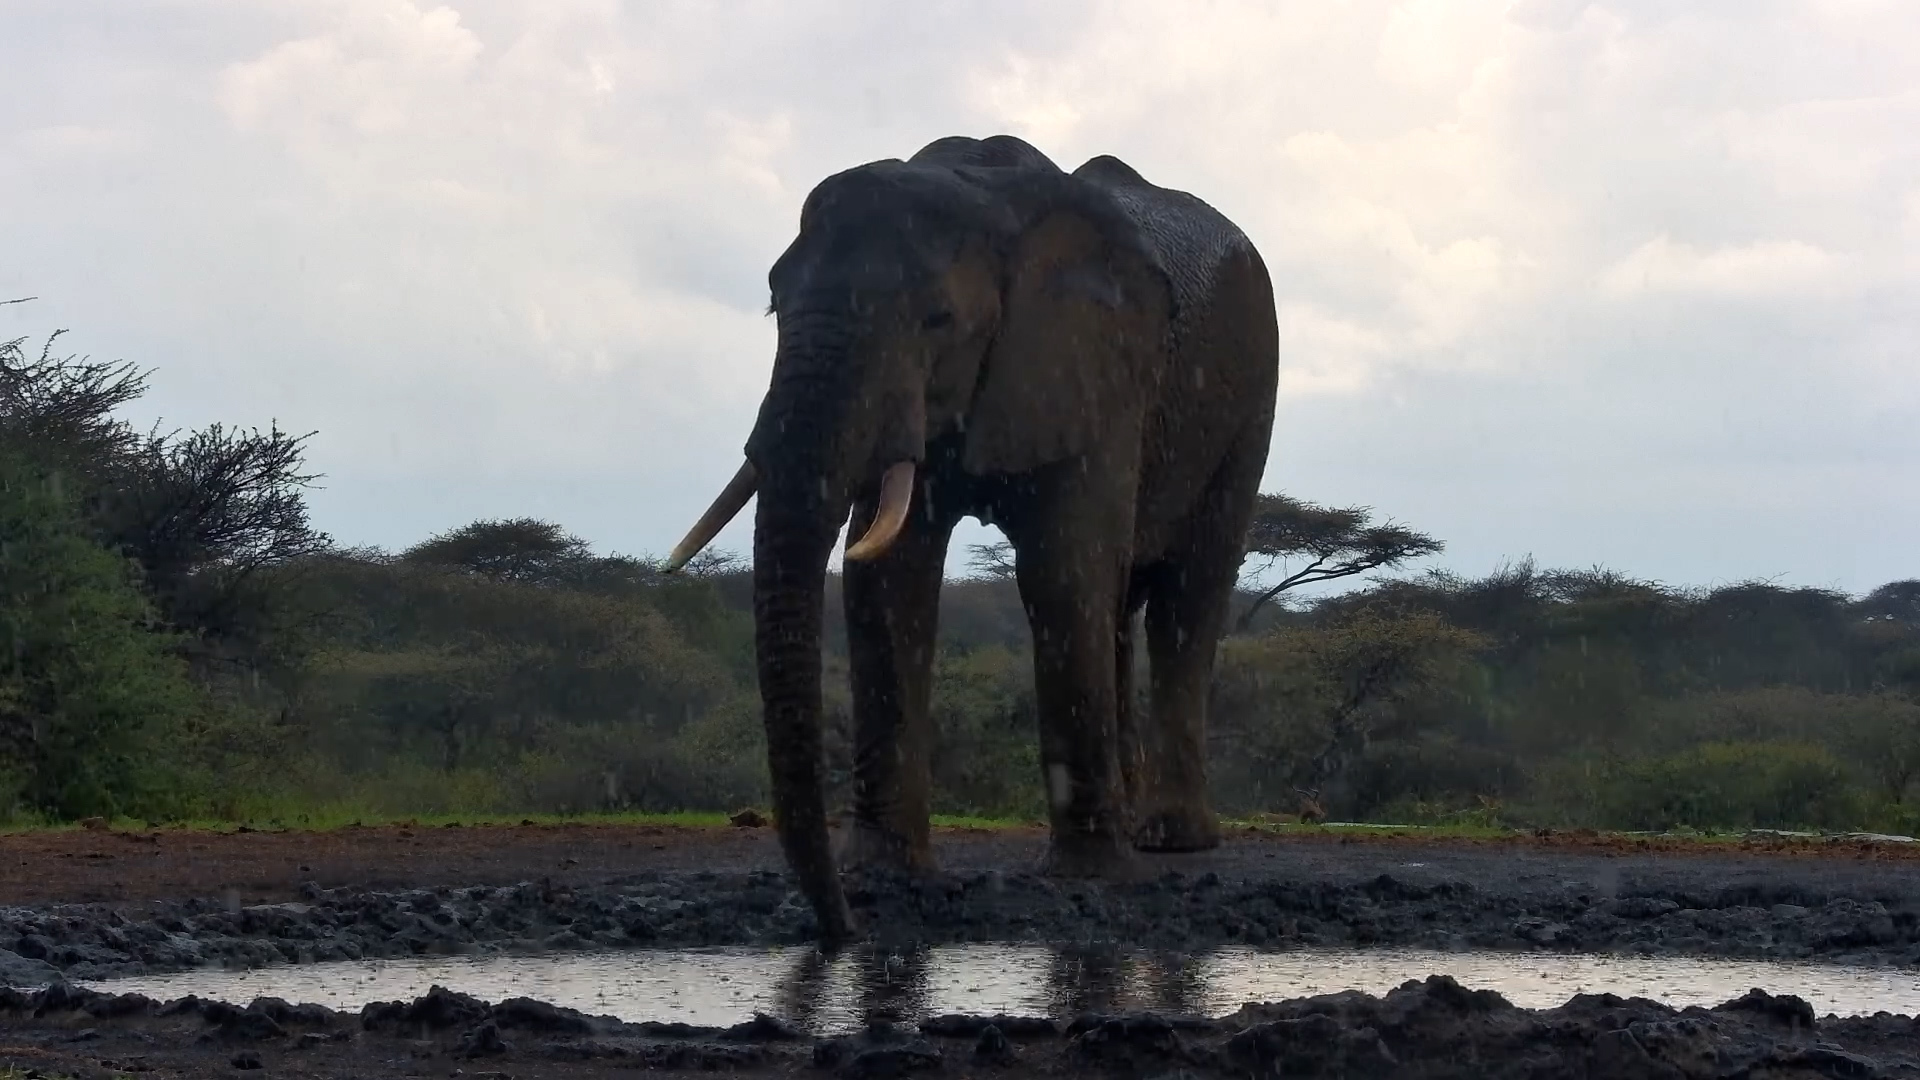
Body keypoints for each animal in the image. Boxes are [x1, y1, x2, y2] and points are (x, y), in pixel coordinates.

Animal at [666, 134, 1279, 941]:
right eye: (773, 303)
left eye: (937, 319)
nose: (840, 930)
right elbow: (887, 581)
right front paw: (886, 873)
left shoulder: (1098, 366)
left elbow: (1063, 571)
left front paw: (1093, 878)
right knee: (1123, 605)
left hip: (1252, 391)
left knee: (1189, 595)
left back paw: (1168, 841)